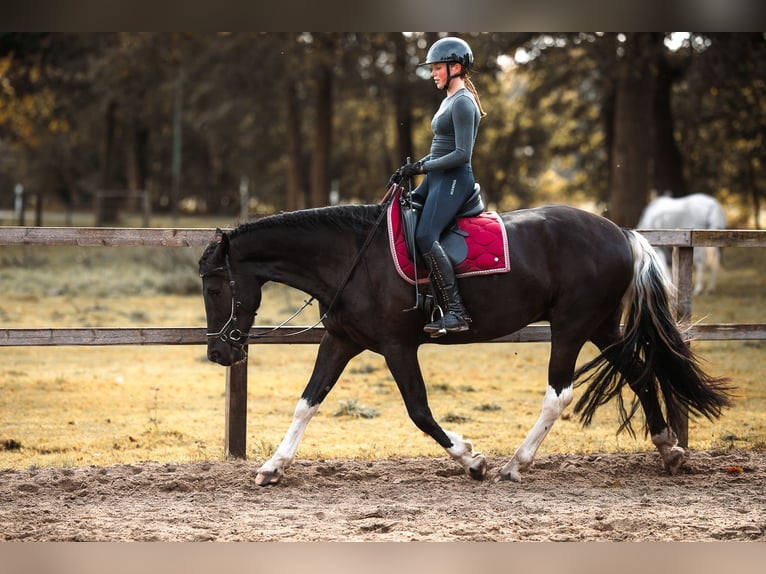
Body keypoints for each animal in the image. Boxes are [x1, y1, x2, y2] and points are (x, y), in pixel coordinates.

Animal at [200, 197, 732, 486]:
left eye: (214, 288)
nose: (219, 352)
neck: (354, 257)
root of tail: (622, 233)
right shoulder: (341, 341)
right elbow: (307, 403)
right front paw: (273, 467)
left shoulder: (397, 346)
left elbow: (418, 410)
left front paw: (471, 458)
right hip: (601, 327)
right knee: (640, 374)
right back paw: (668, 449)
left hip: (571, 327)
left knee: (559, 394)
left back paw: (514, 465)